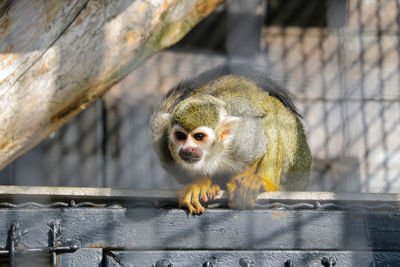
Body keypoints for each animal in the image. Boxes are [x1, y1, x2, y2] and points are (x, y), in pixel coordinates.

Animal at [150, 65, 310, 216]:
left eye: (199, 137)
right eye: (180, 136)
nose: (188, 149)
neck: (216, 154)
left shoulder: (242, 140)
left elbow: (256, 151)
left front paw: (242, 182)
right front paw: (200, 184)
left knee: (273, 117)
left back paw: (265, 182)